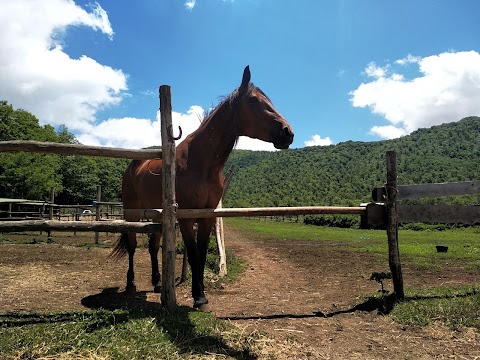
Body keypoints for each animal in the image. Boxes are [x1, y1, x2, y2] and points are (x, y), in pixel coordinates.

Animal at [111, 66, 292, 310]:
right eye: (254, 100)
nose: (288, 132)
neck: (199, 162)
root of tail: (134, 164)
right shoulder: (187, 218)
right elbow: (194, 254)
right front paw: (198, 297)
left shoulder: (206, 216)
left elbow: (203, 254)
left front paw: (202, 295)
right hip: (132, 213)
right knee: (131, 246)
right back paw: (130, 284)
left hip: (156, 216)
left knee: (153, 246)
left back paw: (158, 284)